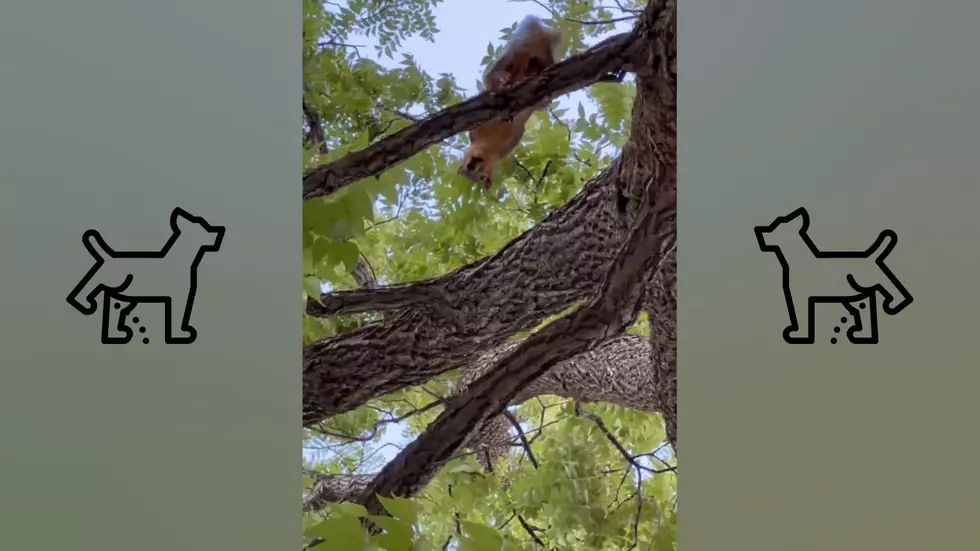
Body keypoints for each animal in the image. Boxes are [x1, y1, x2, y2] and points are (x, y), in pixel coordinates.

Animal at [458, 14, 560, 191]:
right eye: (466, 171)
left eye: (482, 176)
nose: (471, 166)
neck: (488, 145)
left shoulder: (507, 142)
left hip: (510, 60)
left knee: (494, 74)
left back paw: (502, 81)